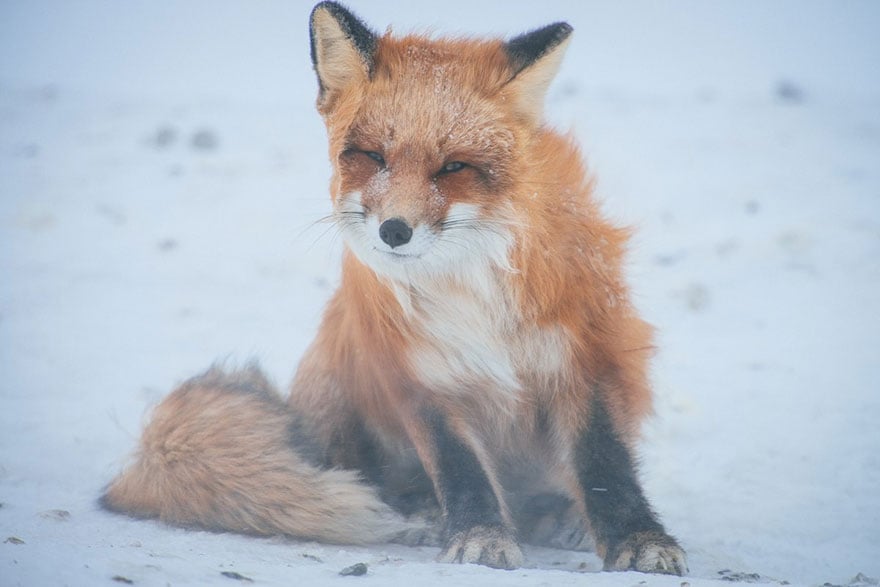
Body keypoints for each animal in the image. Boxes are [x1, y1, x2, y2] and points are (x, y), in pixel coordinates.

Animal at [101, 2, 688, 576]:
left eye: (453, 167)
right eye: (373, 157)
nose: (394, 231)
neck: (471, 291)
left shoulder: (584, 357)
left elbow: (605, 465)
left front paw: (639, 541)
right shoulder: (420, 376)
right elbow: (460, 469)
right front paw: (478, 535)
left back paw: (559, 517)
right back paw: (424, 513)